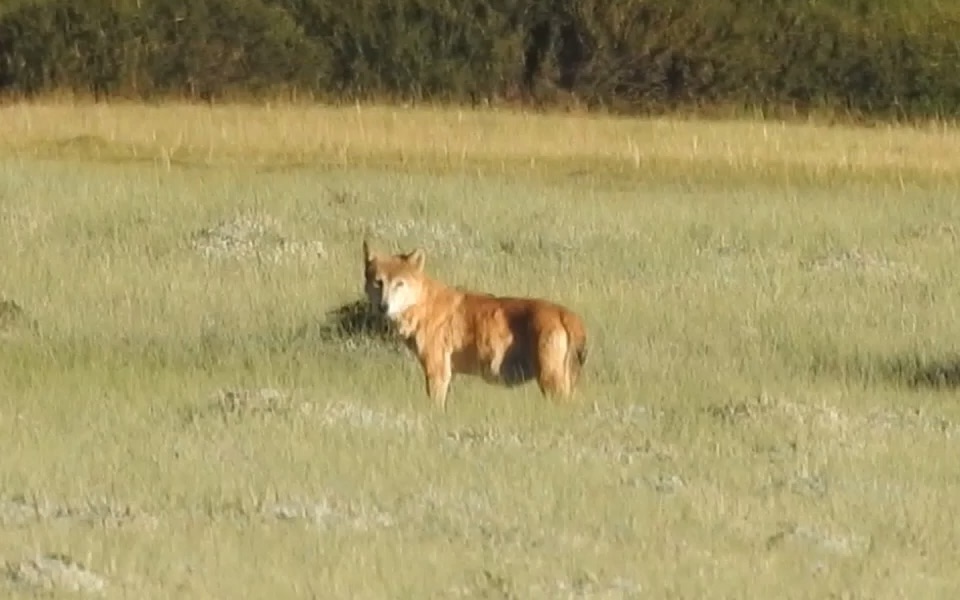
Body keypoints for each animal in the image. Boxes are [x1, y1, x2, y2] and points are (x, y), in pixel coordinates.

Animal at [360, 241, 584, 410]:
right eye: (378, 282)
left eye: (400, 283)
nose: (383, 306)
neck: (422, 304)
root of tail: (565, 313)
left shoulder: (437, 371)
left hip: (551, 382)